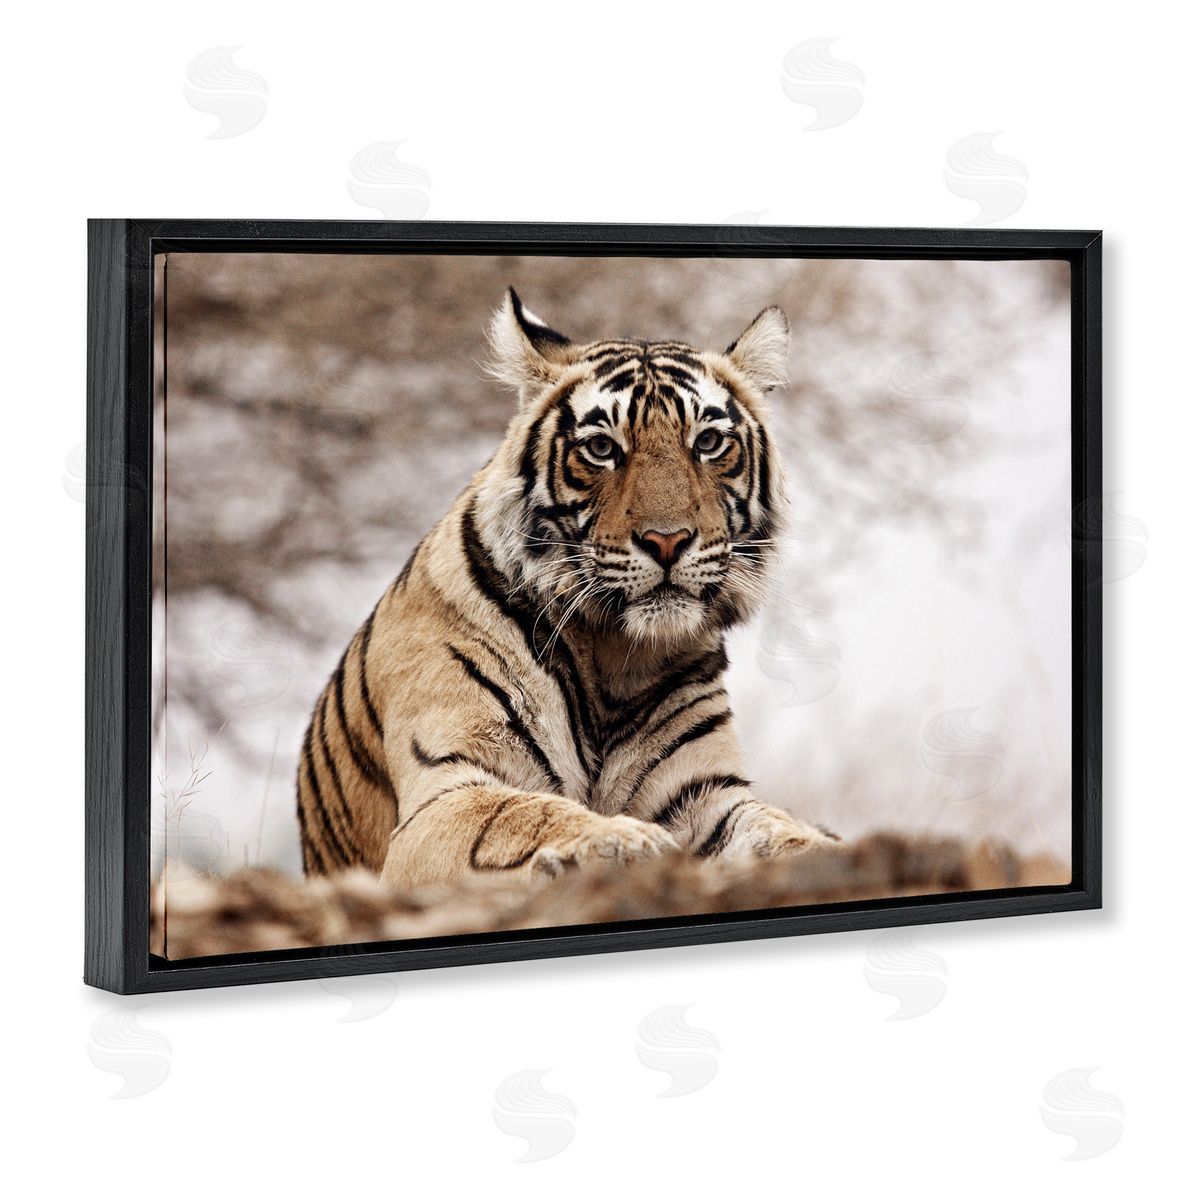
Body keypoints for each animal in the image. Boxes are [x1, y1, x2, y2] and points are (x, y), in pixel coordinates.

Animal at [296, 288, 836, 887]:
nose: (667, 540)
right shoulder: (445, 793)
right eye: (601, 448)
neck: (615, 656)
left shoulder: (705, 793)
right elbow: (525, 815)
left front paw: (820, 849)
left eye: (710, 442)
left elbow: (775, 828)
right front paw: (622, 840)